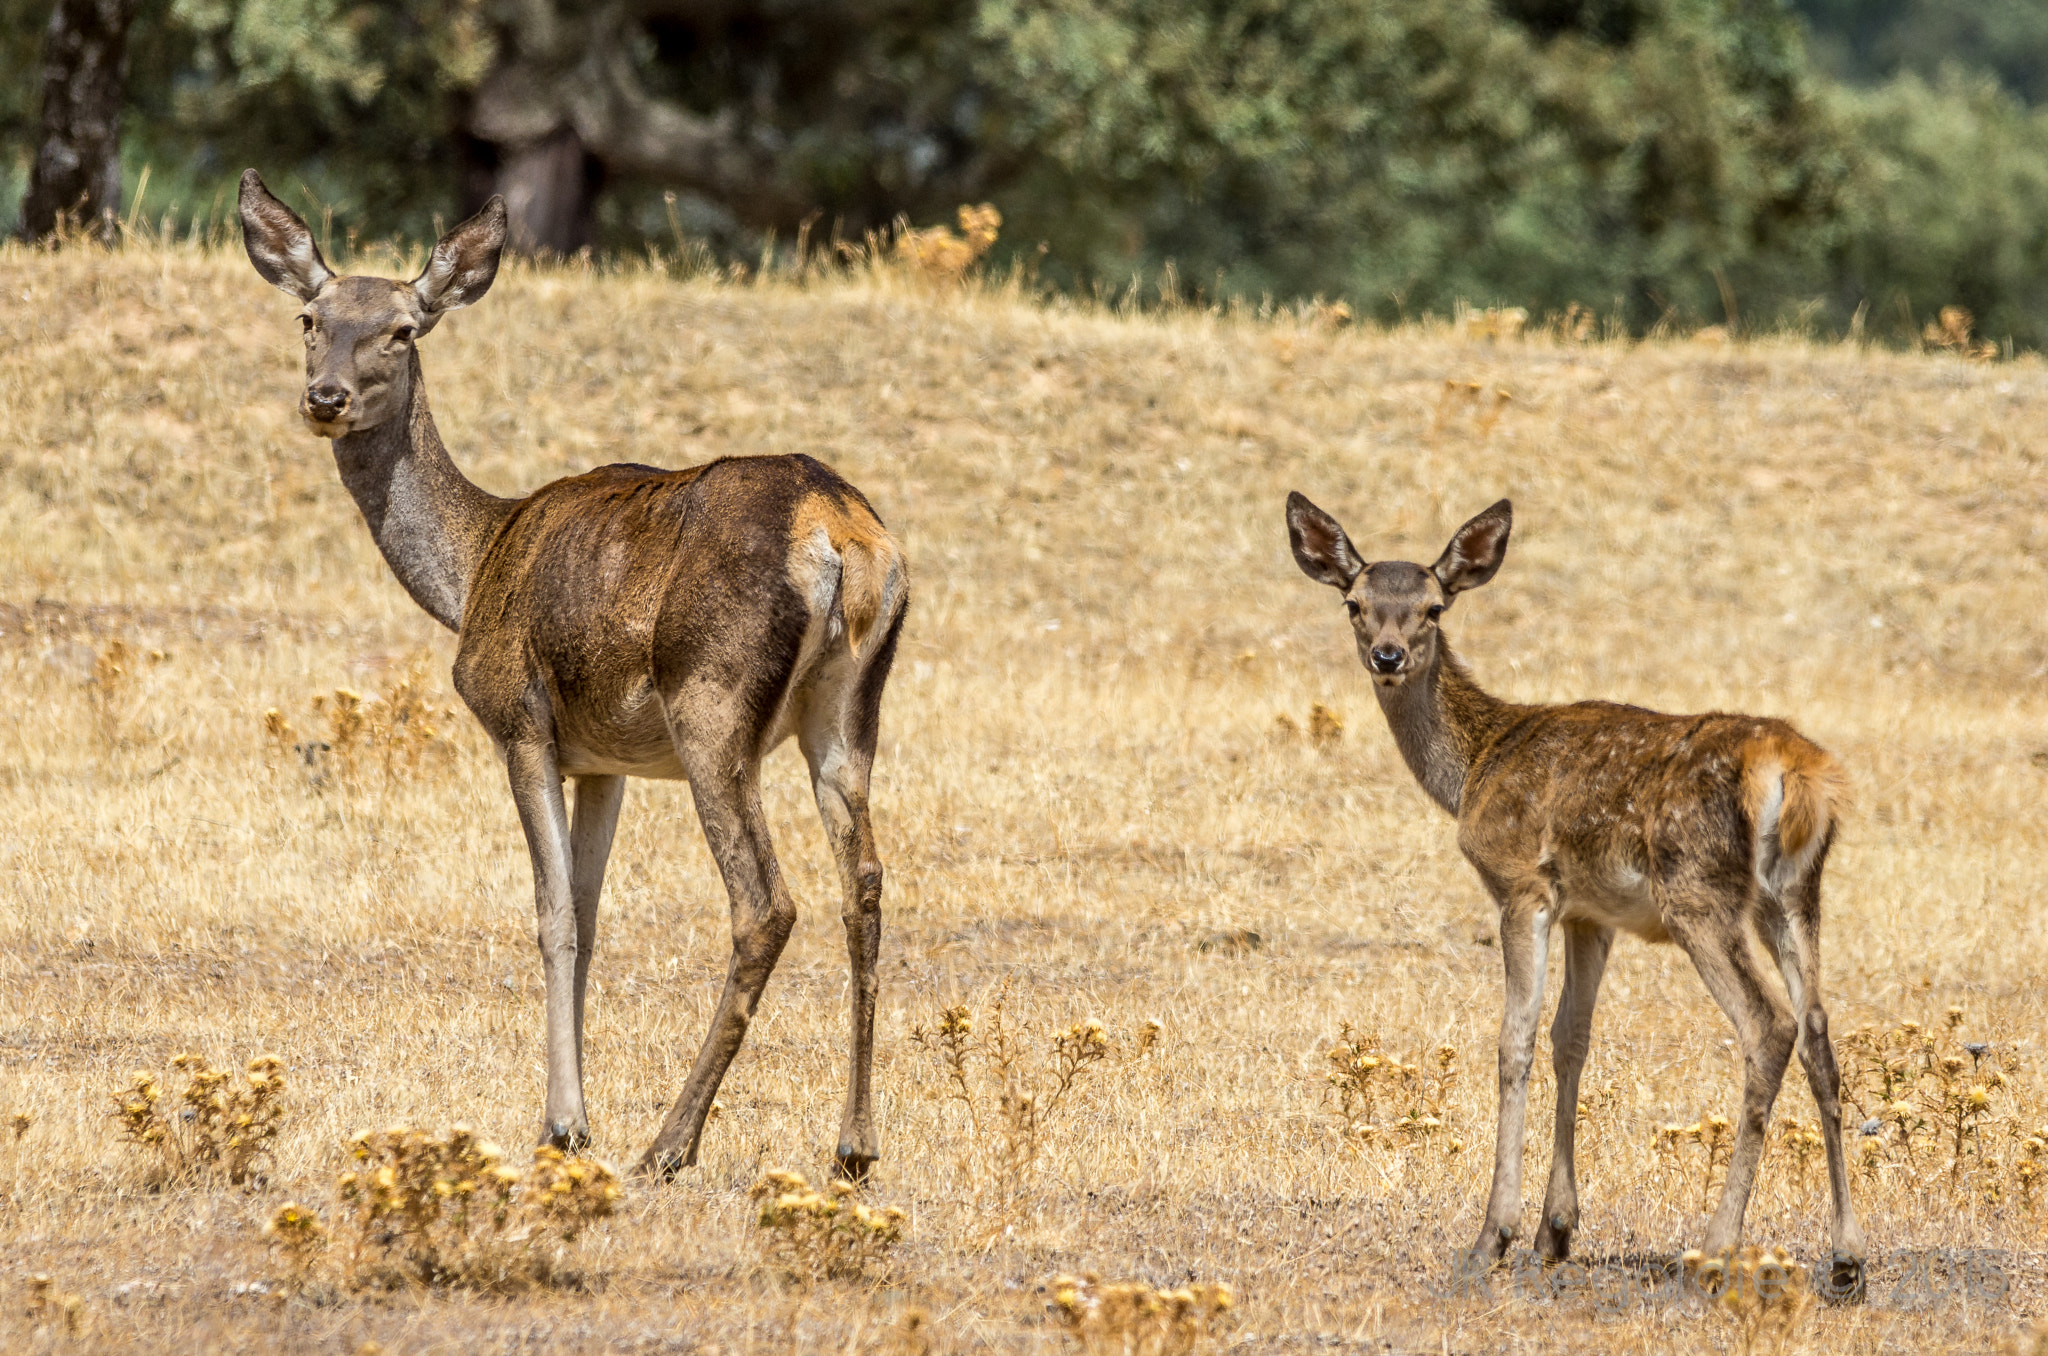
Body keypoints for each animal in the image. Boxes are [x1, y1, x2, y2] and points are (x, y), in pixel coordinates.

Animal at [241, 170, 913, 1188]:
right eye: (311, 317)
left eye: (403, 329)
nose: (324, 397)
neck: (474, 566)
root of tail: (841, 533)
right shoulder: (606, 759)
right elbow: (594, 917)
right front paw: (575, 1107)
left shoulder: (519, 719)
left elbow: (553, 912)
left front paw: (564, 1124)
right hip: (849, 711)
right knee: (865, 886)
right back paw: (854, 1145)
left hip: (713, 702)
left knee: (765, 902)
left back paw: (670, 1143)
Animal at [1286, 493, 1867, 1302]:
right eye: (1355, 604)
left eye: (1434, 607)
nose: (1389, 656)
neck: (1476, 763)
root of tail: (1794, 770)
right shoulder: (1593, 914)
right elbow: (1573, 1039)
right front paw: (1555, 1230)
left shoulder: (1523, 885)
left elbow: (1515, 1039)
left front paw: (1493, 1236)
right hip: (1795, 895)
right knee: (1817, 1029)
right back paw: (1847, 1259)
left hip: (1698, 891)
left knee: (1768, 1026)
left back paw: (1715, 1250)